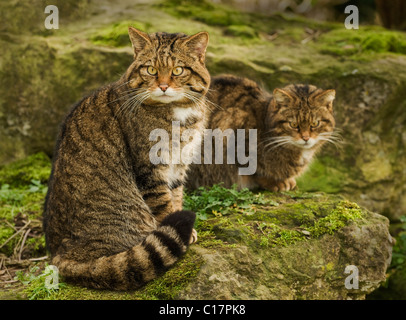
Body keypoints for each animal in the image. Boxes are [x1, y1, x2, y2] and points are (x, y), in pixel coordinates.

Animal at [43, 27, 211, 290]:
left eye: (178, 70)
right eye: (150, 70)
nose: (163, 86)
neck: (180, 114)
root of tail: (59, 256)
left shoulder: (179, 165)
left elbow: (176, 196)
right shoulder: (150, 168)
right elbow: (164, 203)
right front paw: (177, 226)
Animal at [187, 74, 340, 192]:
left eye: (315, 124)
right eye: (293, 124)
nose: (306, 138)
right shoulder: (232, 133)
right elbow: (255, 170)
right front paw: (274, 182)